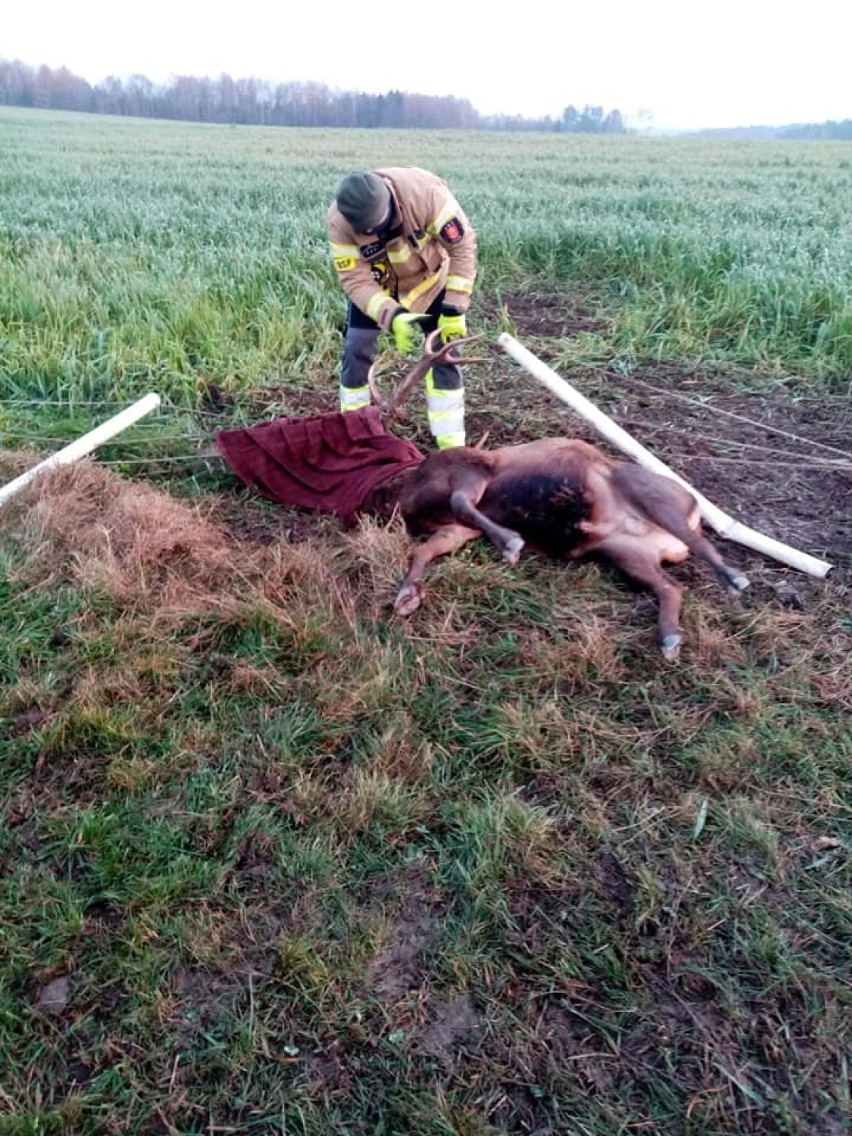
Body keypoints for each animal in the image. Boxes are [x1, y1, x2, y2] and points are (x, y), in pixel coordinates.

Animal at [363, 331, 749, 663]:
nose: (373, 503)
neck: (411, 492)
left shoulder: (472, 470)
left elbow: (462, 504)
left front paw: (511, 543)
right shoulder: (457, 528)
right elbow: (423, 550)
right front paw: (407, 595)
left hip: (648, 492)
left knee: (702, 543)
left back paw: (734, 579)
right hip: (627, 553)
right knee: (671, 587)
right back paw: (670, 637)